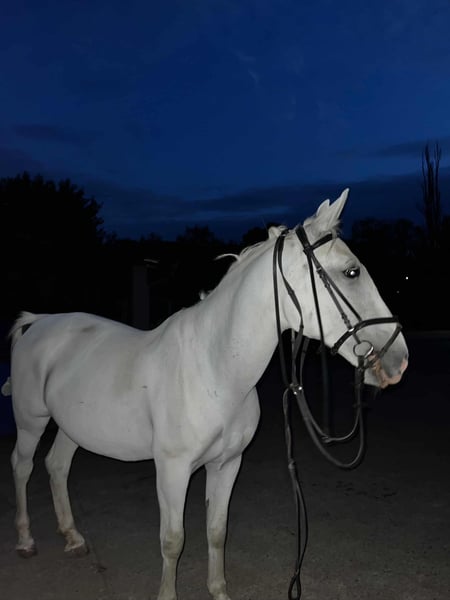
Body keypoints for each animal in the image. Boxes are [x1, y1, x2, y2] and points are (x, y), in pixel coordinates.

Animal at [5, 189, 408, 600]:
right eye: (351, 271)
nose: (398, 359)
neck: (213, 369)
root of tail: (39, 321)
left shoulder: (227, 464)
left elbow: (217, 531)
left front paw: (219, 591)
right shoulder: (172, 470)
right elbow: (173, 540)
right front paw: (168, 594)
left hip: (73, 427)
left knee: (57, 466)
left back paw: (72, 537)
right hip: (31, 421)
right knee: (22, 466)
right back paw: (25, 541)